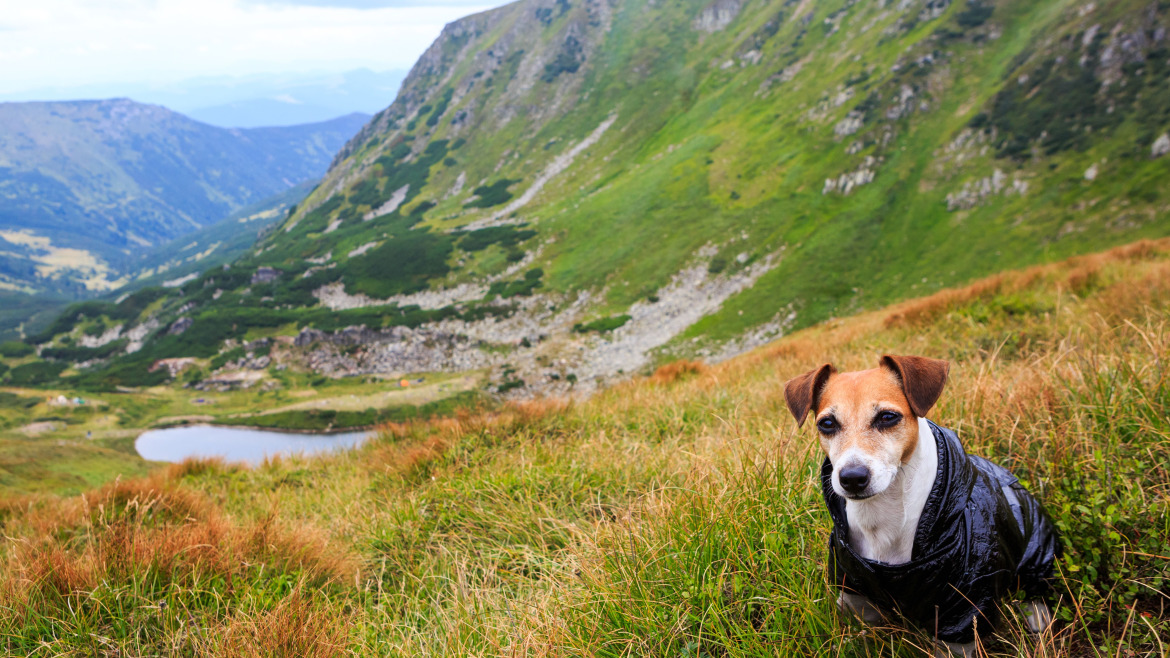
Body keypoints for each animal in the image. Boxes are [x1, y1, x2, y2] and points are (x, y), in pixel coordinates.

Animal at [786, 355, 1062, 650]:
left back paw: (1038, 615)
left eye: (887, 417)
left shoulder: (962, 613)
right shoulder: (854, 592)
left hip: (1037, 554)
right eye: (826, 424)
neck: (882, 518)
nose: (852, 477)